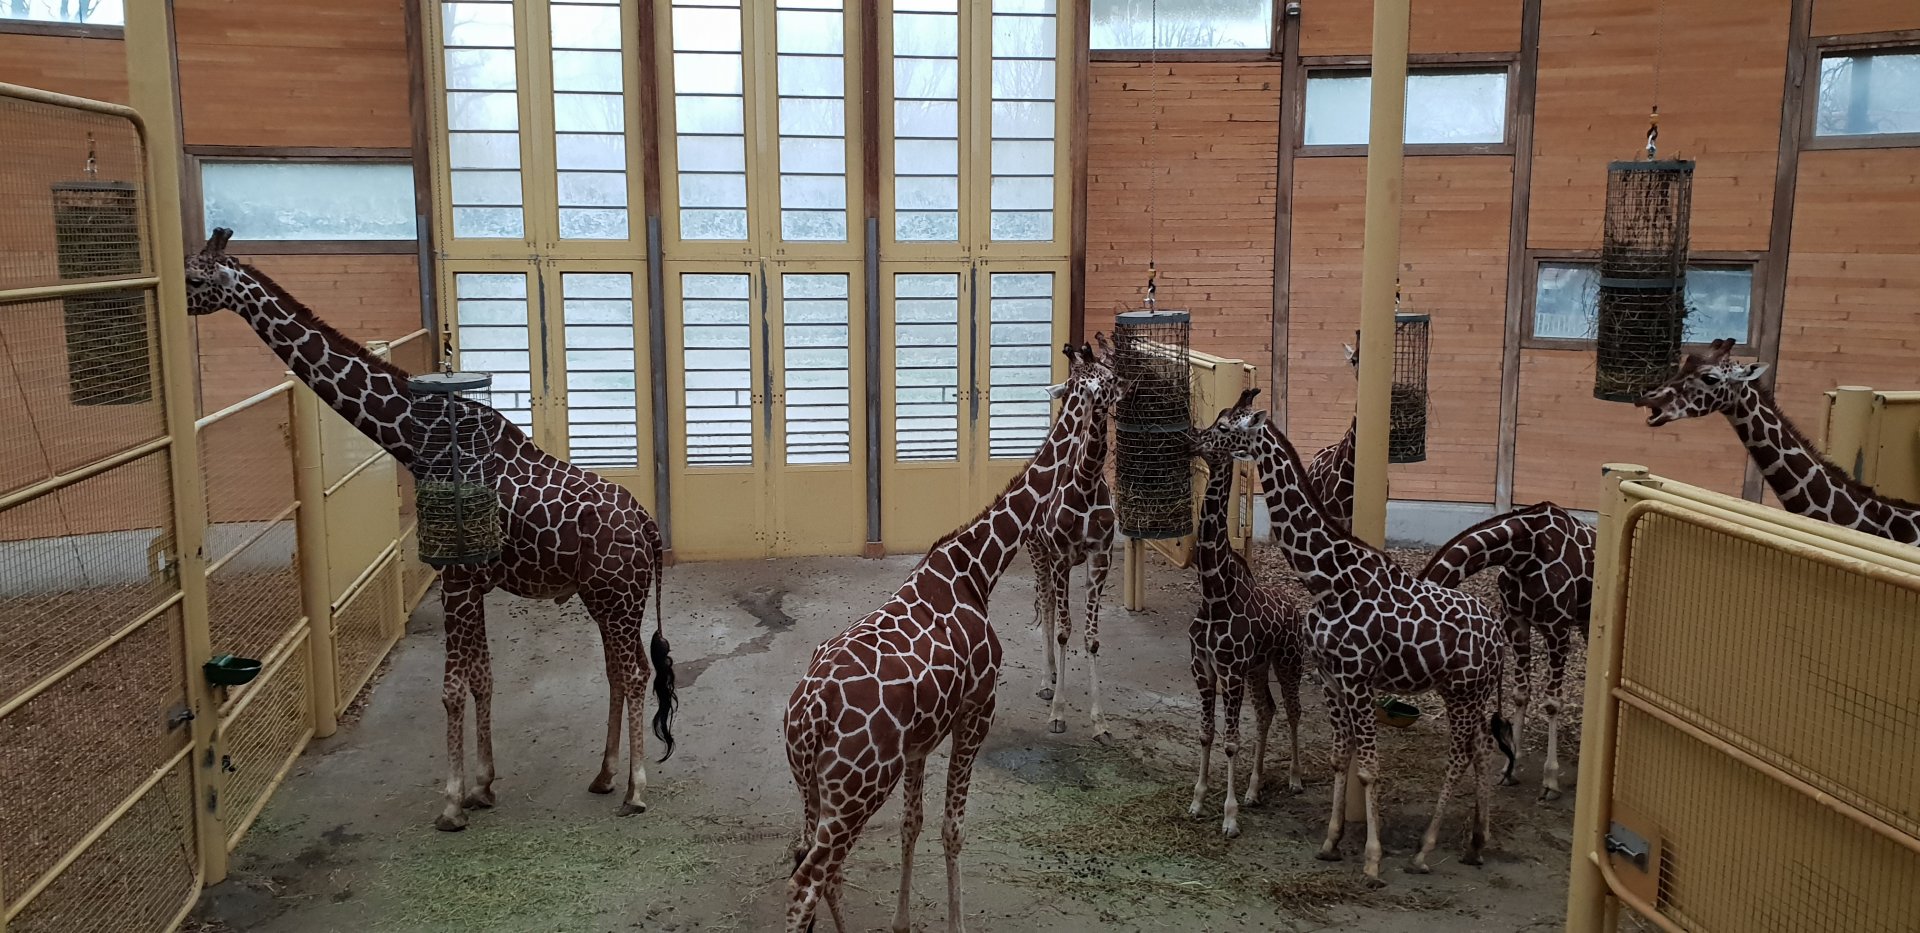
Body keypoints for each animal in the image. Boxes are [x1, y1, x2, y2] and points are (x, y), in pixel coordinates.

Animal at [184, 228, 675, 832]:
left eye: (195, 276)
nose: (178, 304)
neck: (417, 442)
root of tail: (650, 529)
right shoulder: (472, 583)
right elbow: (482, 676)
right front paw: (483, 786)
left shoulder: (454, 578)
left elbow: (451, 688)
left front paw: (451, 803)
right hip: (603, 597)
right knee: (615, 672)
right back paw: (603, 776)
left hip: (616, 594)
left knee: (634, 673)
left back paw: (635, 790)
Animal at [782, 346, 1124, 932]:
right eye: (1091, 382)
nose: (1114, 396)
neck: (976, 568)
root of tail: (805, 722)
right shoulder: (977, 710)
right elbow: (953, 828)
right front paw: (956, 921)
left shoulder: (920, 743)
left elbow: (913, 824)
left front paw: (901, 921)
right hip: (858, 789)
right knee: (806, 881)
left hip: (814, 789)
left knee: (816, 866)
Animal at [1185, 390, 1308, 837]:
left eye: (1222, 428)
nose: (1192, 437)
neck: (1213, 591)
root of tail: (1295, 607)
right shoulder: (1203, 667)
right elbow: (1206, 734)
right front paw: (1198, 802)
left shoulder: (1230, 670)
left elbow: (1230, 741)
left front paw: (1230, 817)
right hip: (1259, 667)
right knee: (1267, 711)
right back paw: (1255, 790)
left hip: (1288, 661)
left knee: (1292, 710)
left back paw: (1294, 779)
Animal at [1220, 391, 1514, 880]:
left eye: (1225, 427)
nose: (1195, 436)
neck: (1326, 580)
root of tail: (1498, 639)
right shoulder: (1331, 678)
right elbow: (1342, 758)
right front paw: (1330, 842)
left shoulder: (1359, 679)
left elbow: (1370, 768)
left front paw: (1373, 860)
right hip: (1466, 693)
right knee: (1483, 749)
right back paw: (1477, 842)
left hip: (1463, 692)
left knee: (1458, 757)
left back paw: (1424, 851)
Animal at [1421, 502, 1595, 800]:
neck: (1524, 552)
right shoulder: (1515, 622)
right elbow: (1520, 694)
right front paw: (1509, 767)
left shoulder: (1558, 627)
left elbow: (1552, 702)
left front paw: (1550, 781)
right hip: (1586, 621)